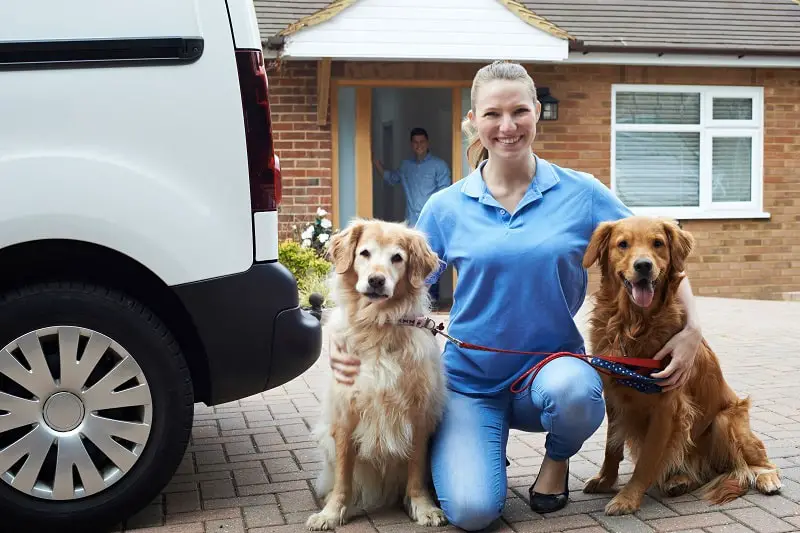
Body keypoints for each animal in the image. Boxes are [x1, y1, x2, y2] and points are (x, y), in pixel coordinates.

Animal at [580, 216, 780, 516]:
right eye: (622, 244)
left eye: (657, 243)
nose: (643, 265)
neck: (633, 324)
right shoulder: (614, 396)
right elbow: (611, 447)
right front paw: (605, 480)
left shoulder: (668, 406)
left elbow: (648, 459)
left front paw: (628, 498)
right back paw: (680, 480)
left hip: (725, 421)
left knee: (759, 460)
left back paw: (767, 477)